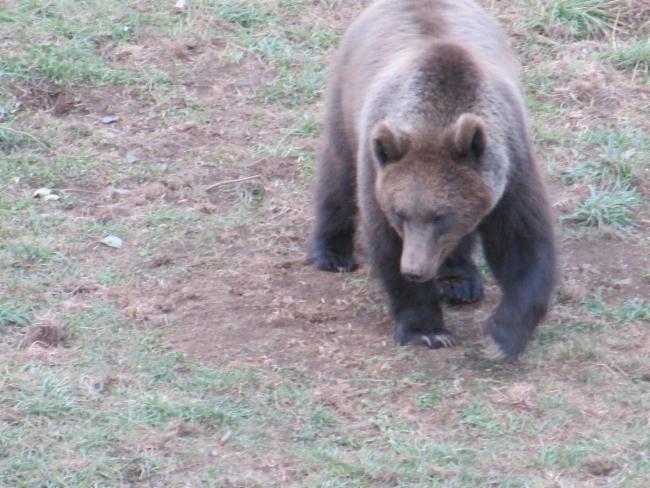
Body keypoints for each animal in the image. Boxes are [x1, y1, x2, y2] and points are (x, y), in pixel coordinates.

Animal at [307, 0, 556, 359]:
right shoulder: (378, 173)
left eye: (442, 215)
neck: (436, 116)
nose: (414, 269)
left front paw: (501, 336)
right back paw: (332, 254)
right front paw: (427, 331)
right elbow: (385, 243)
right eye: (400, 213)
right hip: (346, 98)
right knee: (338, 173)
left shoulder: (512, 168)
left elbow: (524, 245)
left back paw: (459, 281)